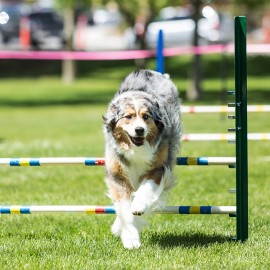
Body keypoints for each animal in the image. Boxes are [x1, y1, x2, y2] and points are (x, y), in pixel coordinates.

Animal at [103, 69, 181, 249]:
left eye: (146, 117)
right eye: (128, 117)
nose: (139, 130)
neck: (135, 149)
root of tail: (148, 71)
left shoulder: (159, 167)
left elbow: (146, 189)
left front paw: (139, 206)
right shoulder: (117, 173)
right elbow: (124, 211)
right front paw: (130, 238)